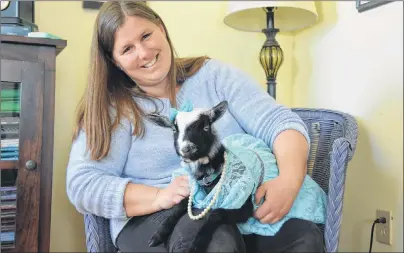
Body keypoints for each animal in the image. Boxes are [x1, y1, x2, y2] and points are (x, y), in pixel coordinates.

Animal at [145, 101, 252, 253]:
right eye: (174, 129)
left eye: (206, 127)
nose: (186, 149)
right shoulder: (192, 192)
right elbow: (179, 206)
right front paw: (158, 235)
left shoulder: (245, 207)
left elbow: (215, 214)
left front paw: (196, 245)